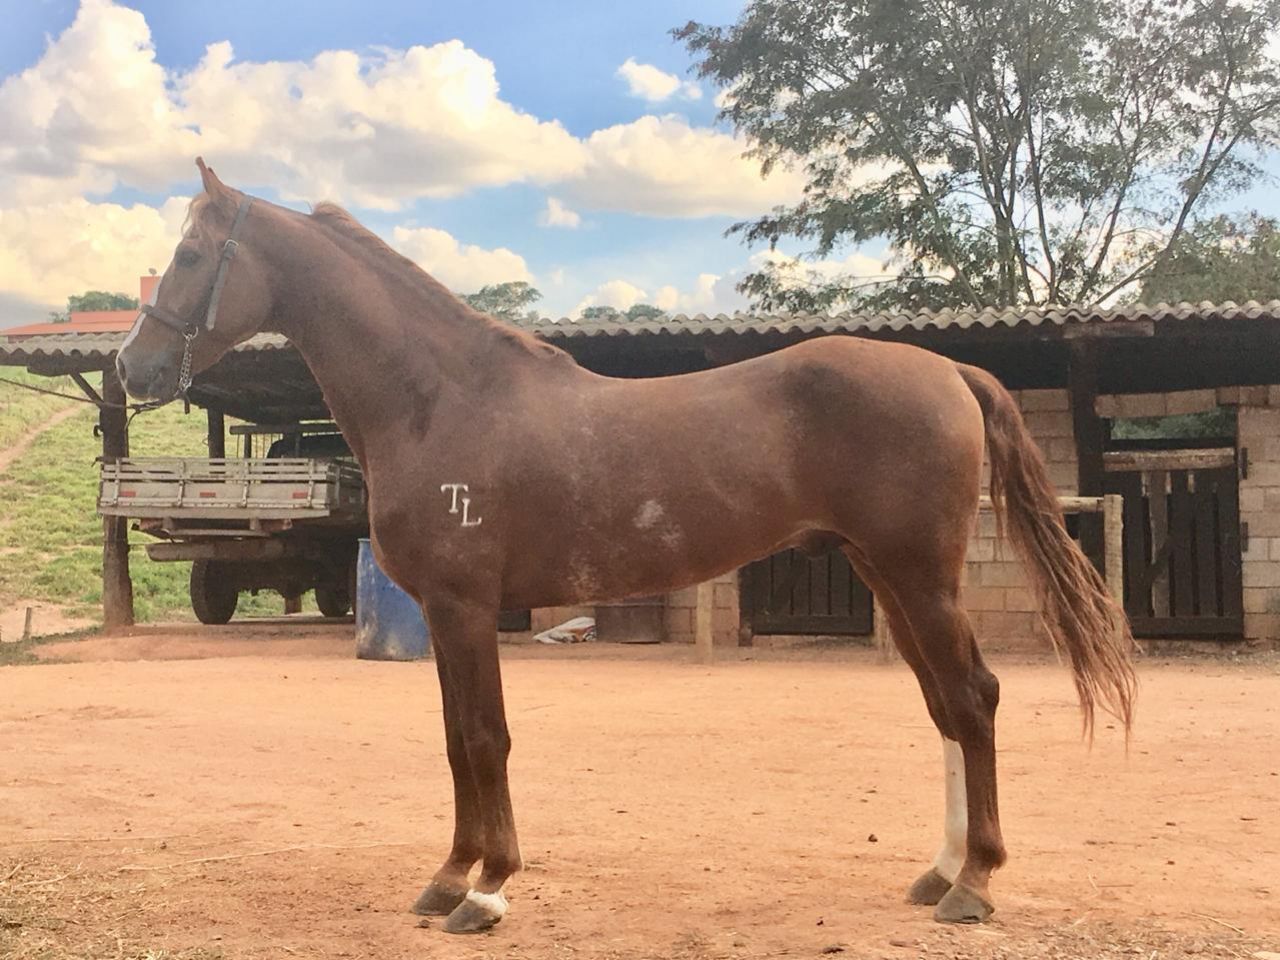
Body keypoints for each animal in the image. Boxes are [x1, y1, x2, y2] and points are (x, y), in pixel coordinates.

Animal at [117, 158, 1137, 935]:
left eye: (192, 253)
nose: (132, 366)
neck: (440, 399)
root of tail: (951, 369)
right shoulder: (448, 616)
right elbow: (455, 739)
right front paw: (448, 876)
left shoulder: (463, 608)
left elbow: (484, 738)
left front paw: (487, 889)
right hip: (888, 575)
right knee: (946, 709)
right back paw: (940, 872)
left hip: (921, 578)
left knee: (974, 699)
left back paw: (976, 884)